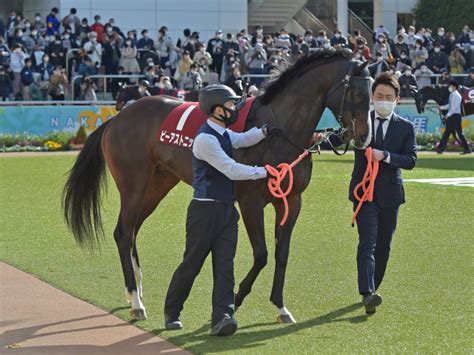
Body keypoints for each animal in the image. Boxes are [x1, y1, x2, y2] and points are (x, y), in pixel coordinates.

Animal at [63, 49, 374, 326]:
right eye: (358, 93)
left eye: (373, 92)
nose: (363, 137)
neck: (280, 131)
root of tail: (117, 119)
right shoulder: (250, 202)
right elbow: (261, 254)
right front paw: (235, 299)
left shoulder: (292, 201)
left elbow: (281, 254)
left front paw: (280, 307)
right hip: (133, 186)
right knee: (123, 233)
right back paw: (136, 301)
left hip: (157, 186)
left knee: (131, 231)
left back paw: (136, 292)